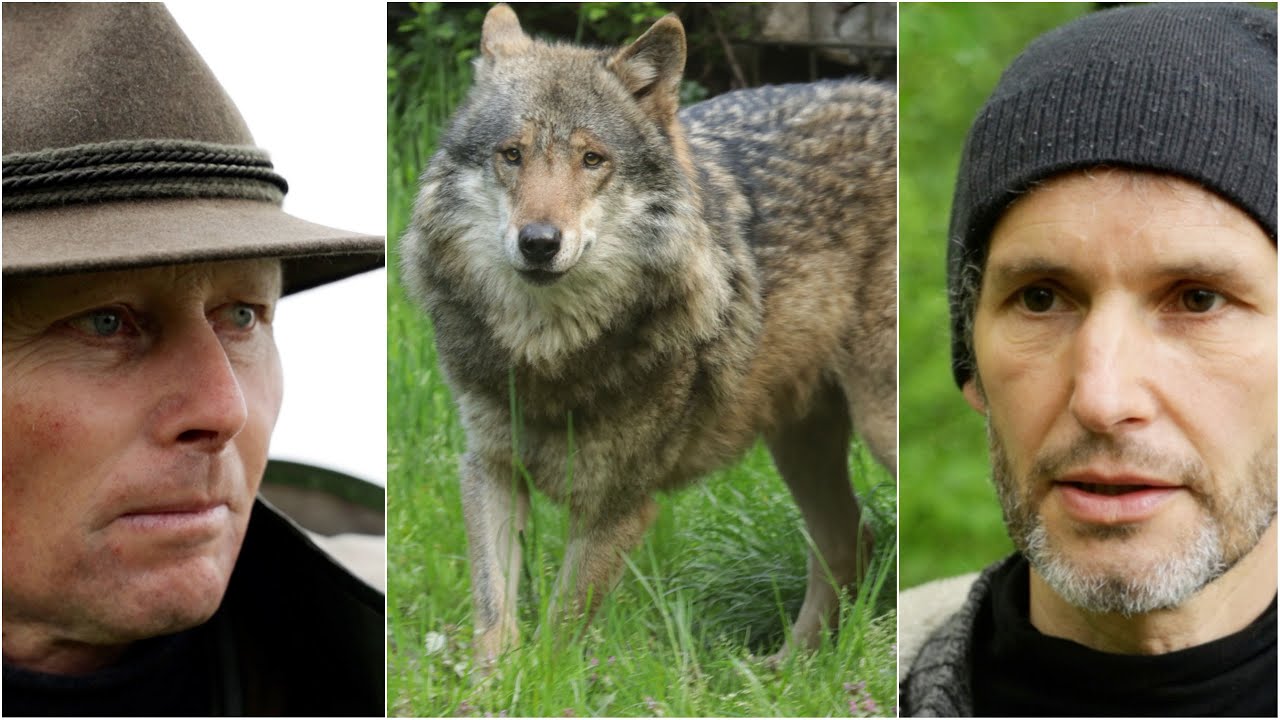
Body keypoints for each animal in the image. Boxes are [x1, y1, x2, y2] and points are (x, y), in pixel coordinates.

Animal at [401, 4, 896, 668]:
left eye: (592, 159)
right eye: (512, 154)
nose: (539, 242)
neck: (549, 351)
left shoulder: (618, 502)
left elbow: (558, 631)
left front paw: (545, 683)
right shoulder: (490, 468)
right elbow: (494, 622)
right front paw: (493, 684)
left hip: (874, 427)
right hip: (798, 442)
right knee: (851, 541)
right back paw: (784, 673)